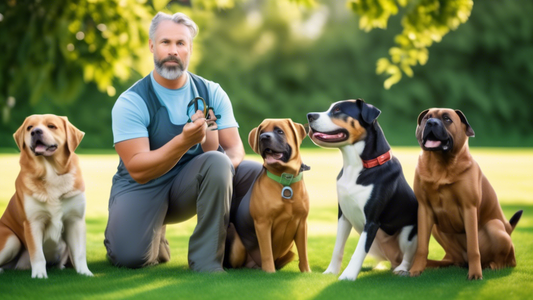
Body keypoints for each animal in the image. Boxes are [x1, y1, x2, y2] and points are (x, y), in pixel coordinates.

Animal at [0, 115, 92, 278]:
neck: (51, 173)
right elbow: (38, 254)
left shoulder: (75, 220)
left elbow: (80, 253)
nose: (36, 132)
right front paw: (39, 276)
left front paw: (85, 273)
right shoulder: (33, 222)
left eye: (51, 126)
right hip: (11, 239)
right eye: (29, 127)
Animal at [225, 118, 310, 274]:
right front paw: (270, 272)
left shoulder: (302, 223)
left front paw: (307, 272)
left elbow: (303, 252)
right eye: (262, 132)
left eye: (280, 131)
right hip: (237, 247)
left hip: (290, 252)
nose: (263, 137)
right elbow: (267, 252)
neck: (285, 181)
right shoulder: (263, 223)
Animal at [306, 99, 418, 280]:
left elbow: (359, 251)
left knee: (408, 257)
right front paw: (331, 271)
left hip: (407, 234)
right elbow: (338, 247)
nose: (310, 115)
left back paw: (401, 269)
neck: (355, 165)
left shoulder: (372, 221)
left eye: (338, 110)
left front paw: (347, 276)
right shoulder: (343, 215)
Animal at [410, 109, 520, 280]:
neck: (439, 165)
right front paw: (415, 270)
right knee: (452, 259)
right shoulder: (424, 210)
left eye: (447, 119)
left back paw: (493, 265)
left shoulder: (469, 208)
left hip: (495, 227)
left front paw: (475, 274)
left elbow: (473, 247)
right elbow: (422, 247)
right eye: (427, 118)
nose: (431, 123)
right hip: (436, 229)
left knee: (508, 260)